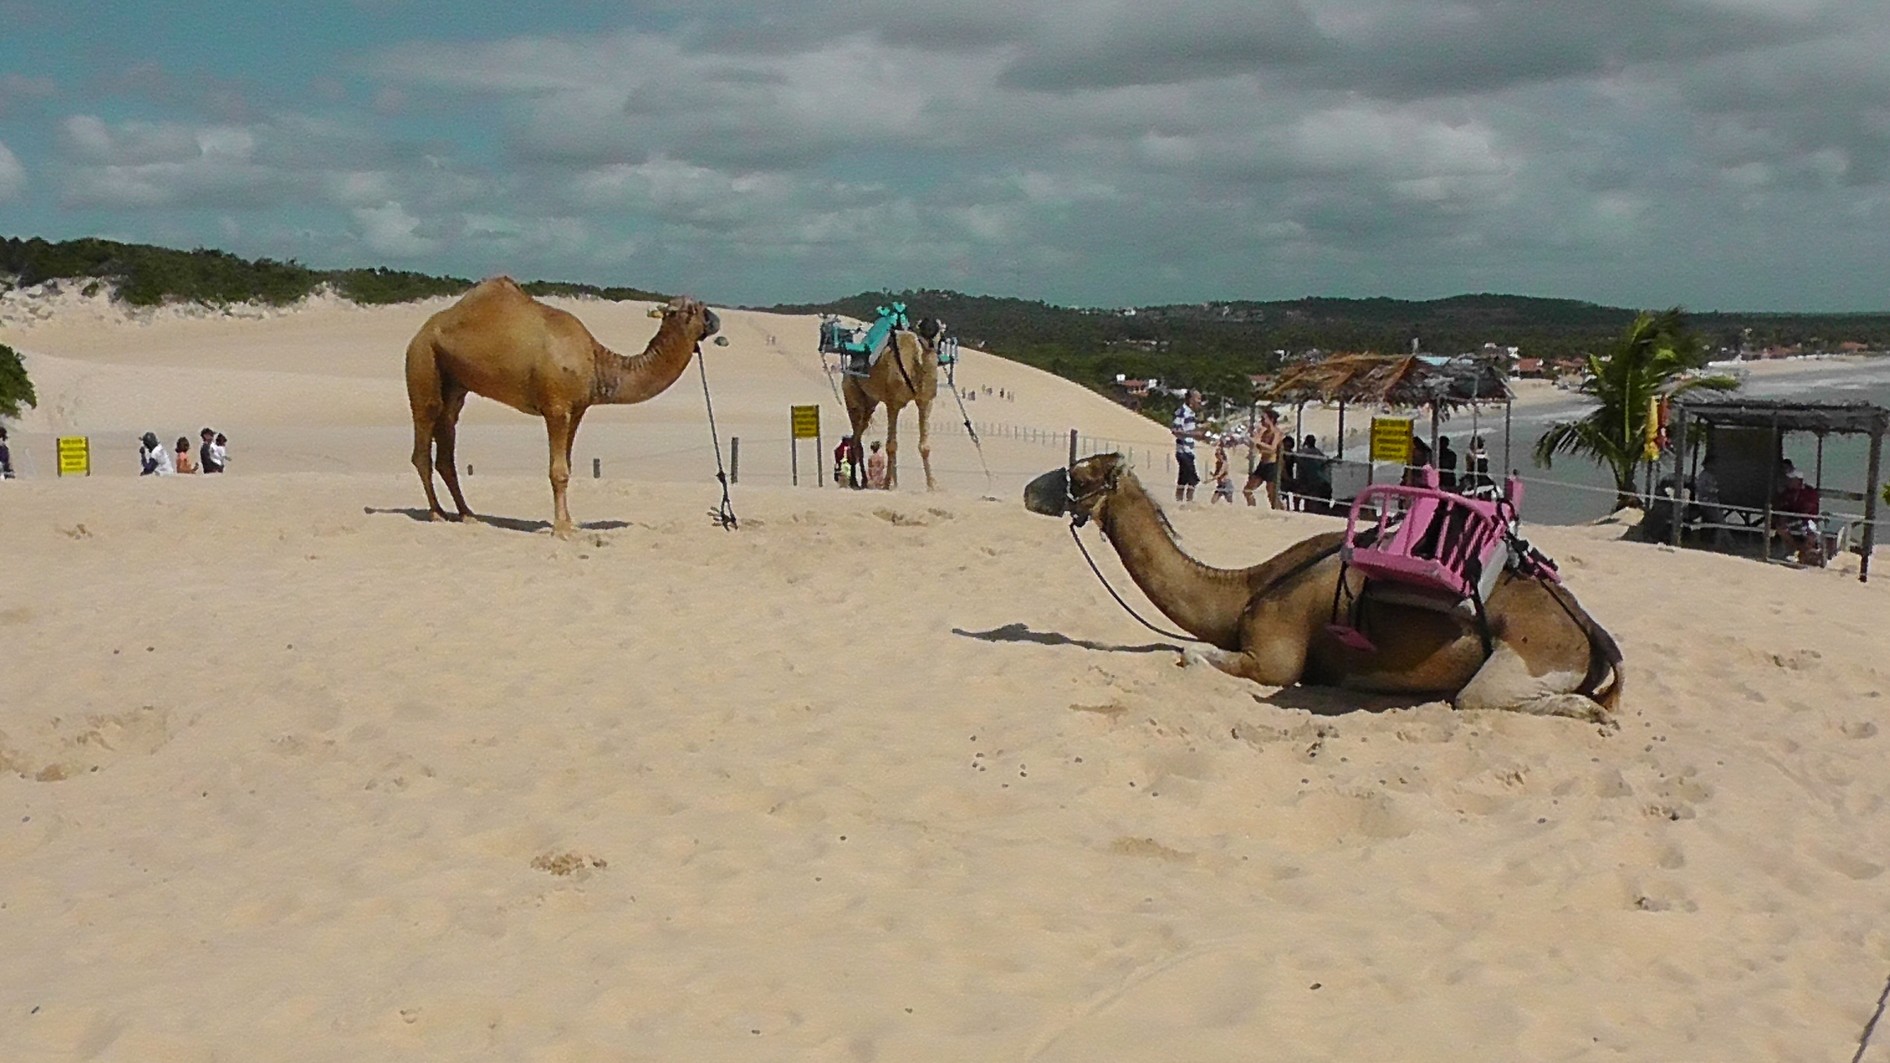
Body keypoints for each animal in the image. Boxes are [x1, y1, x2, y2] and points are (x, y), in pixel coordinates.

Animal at [404, 277, 720, 537]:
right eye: (695, 309)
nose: (715, 319)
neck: (596, 362)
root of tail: (421, 331)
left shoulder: (576, 409)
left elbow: (567, 466)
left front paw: (570, 522)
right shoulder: (556, 408)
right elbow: (558, 471)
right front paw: (561, 529)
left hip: (455, 382)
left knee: (447, 435)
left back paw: (468, 515)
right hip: (422, 358)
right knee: (424, 435)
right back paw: (437, 513)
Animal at [842, 318, 944, 490]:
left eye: (940, 336)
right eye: (923, 332)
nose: (931, 345)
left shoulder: (925, 402)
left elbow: (924, 446)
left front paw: (932, 486)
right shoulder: (893, 403)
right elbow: (891, 445)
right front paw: (886, 484)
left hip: (870, 403)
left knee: (860, 432)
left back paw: (872, 482)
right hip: (851, 395)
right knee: (855, 439)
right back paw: (857, 482)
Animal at [1023, 455, 1625, 718]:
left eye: (1080, 473)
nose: (1030, 490)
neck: (1245, 591)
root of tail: (1590, 631)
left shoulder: (1275, 659)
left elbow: (1188, 656)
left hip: (1530, 652)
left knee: (1480, 698)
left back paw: (1586, 711)